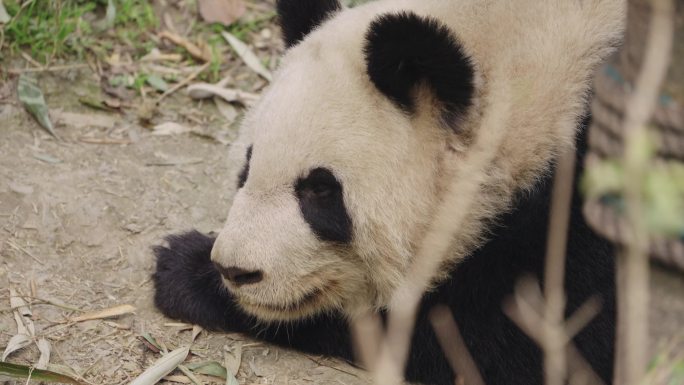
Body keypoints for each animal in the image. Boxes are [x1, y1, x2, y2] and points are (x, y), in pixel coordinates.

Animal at [154, 0, 624, 384]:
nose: (236, 270)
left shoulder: (589, 219)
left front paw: (184, 268)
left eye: (320, 190)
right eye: (247, 167)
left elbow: (512, 339)